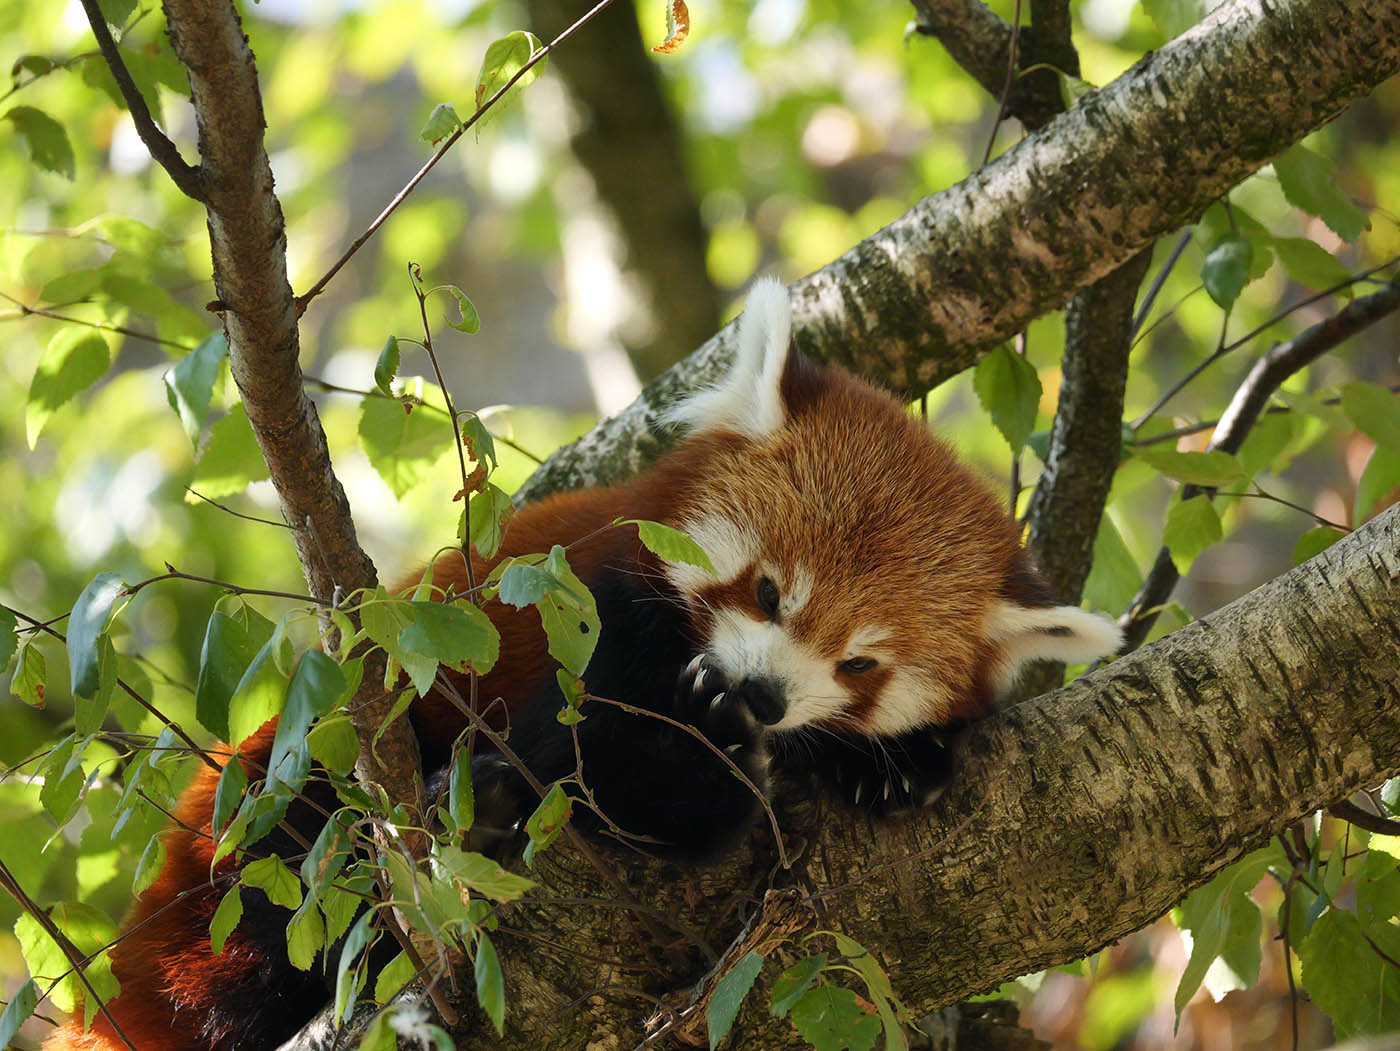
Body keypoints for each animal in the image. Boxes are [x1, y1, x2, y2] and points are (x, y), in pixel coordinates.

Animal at [38, 277, 1120, 1051]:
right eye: (770, 592)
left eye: (860, 663)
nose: (761, 693)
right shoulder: (585, 612)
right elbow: (598, 762)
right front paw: (683, 756)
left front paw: (895, 766)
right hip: (288, 798)